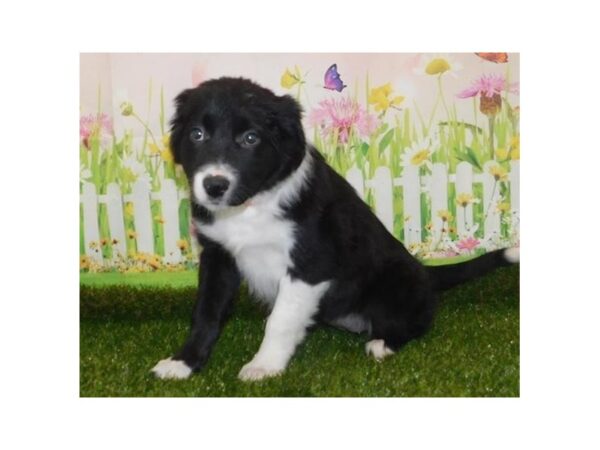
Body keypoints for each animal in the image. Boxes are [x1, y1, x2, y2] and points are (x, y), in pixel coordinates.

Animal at [151, 76, 520, 380]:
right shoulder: (218, 257)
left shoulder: (311, 263)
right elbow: (206, 314)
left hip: (396, 282)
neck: (251, 207)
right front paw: (184, 363)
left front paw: (264, 366)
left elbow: (280, 320)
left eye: (251, 138)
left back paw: (383, 343)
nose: (214, 186)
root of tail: (426, 273)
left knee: (417, 320)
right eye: (197, 134)